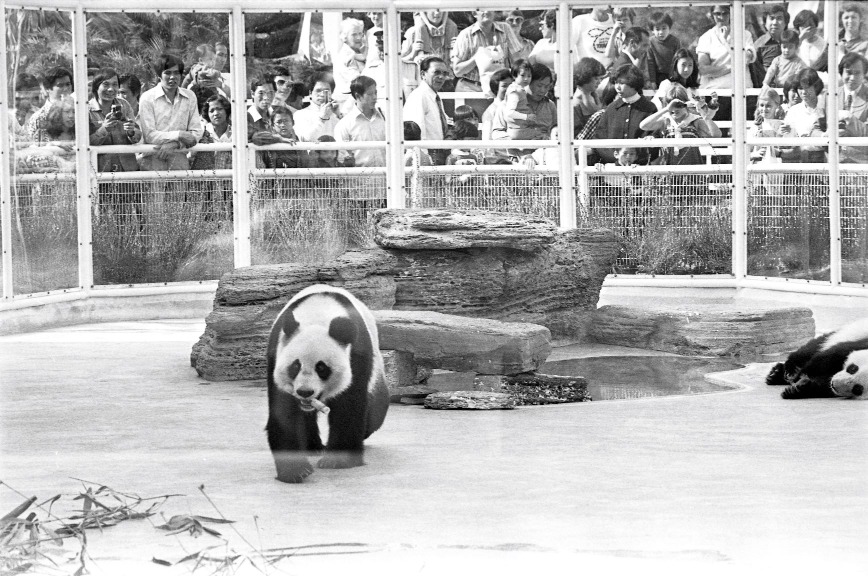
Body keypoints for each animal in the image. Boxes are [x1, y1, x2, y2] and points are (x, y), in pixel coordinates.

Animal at [265, 284, 389, 483]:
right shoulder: (276, 352)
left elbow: (348, 405)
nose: (305, 392)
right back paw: (313, 446)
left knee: (375, 411)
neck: (318, 314)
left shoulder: (357, 354)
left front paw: (338, 460)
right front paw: (295, 470)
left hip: (377, 373)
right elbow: (284, 412)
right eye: (295, 366)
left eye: (322, 368)